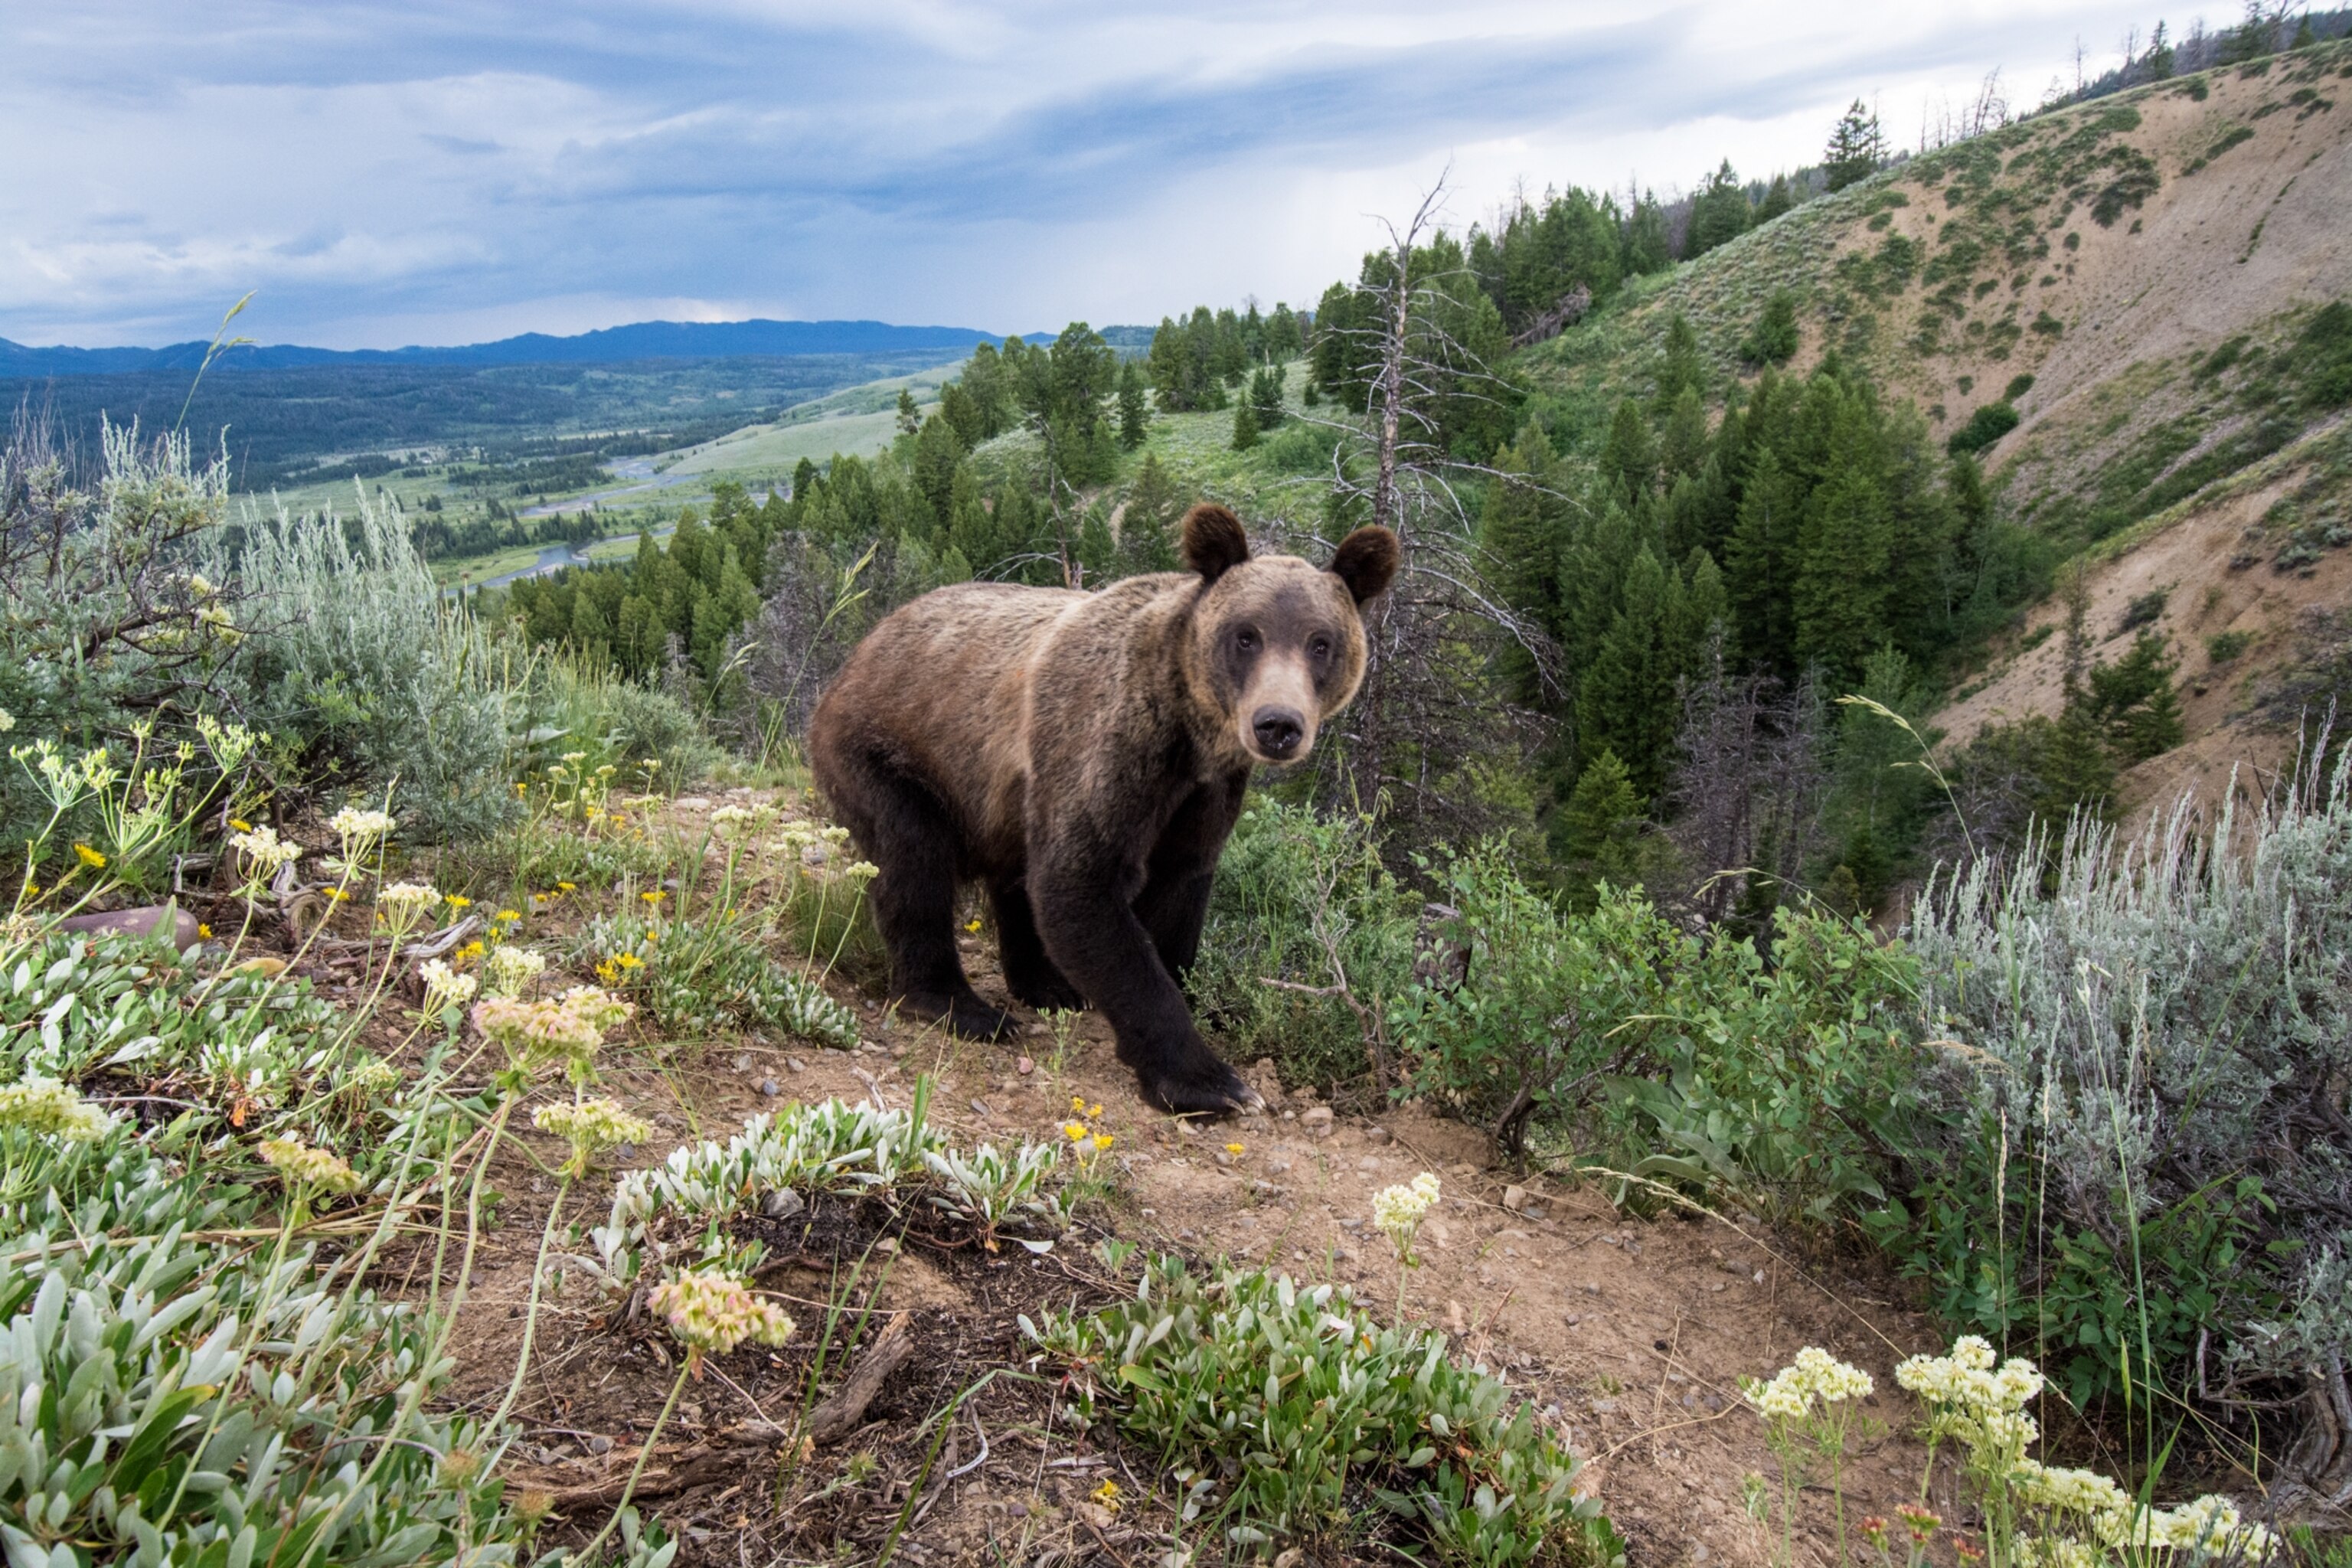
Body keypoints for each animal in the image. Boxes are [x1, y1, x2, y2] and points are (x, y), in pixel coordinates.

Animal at [809, 503, 1399, 1114]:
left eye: (1321, 642)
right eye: (1246, 636)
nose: (1278, 724)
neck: (1191, 734)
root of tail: (867, 641)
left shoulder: (1205, 793)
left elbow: (1178, 887)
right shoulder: (1110, 744)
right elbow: (1081, 885)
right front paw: (1210, 1082)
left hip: (1005, 793)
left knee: (1012, 874)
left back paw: (1047, 986)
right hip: (891, 750)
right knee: (913, 860)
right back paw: (962, 1007)